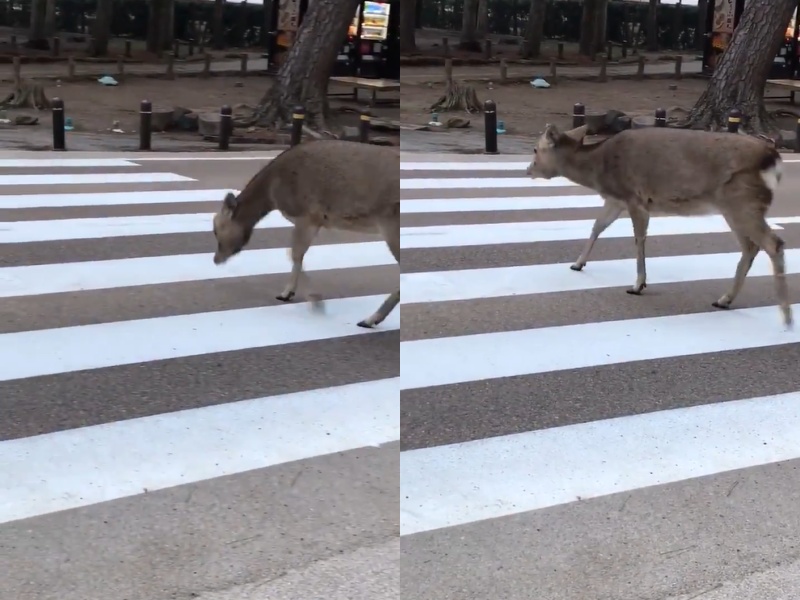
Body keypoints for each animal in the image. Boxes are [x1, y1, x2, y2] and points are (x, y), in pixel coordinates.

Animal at [212, 139, 400, 330]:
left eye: (216, 230)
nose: (216, 259)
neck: (273, 192)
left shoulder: (306, 215)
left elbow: (294, 253)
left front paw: (315, 302)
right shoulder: (317, 220)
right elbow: (296, 254)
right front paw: (289, 293)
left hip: (391, 224)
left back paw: (370, 319)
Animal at [524, 122, 792, 328]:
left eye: (535, 149)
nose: (527, 170)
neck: (599, 171)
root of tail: (773, 159)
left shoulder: (635, 197)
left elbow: (639, 237)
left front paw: (637, 284)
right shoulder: (615, 199)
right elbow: (598, 225)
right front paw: (578, 264)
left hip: (741, 202)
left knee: (774, 243)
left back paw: (786, 315)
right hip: (735, 208)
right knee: (751, 247)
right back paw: (724, 299)